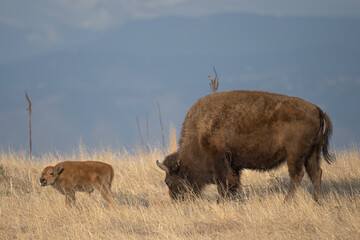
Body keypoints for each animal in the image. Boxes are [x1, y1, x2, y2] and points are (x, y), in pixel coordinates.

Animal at [156, 91, 334, 202]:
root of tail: (317, 109)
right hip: (312, 153)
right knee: (316, 173)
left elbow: (224, 184)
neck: (200, 132)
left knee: (297, 175)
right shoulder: (233, 165)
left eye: (168, 182)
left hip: (294, 155)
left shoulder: (220, 161)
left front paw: (221, 201)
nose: (176, 200)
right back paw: (317, 202)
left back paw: (286, 202)